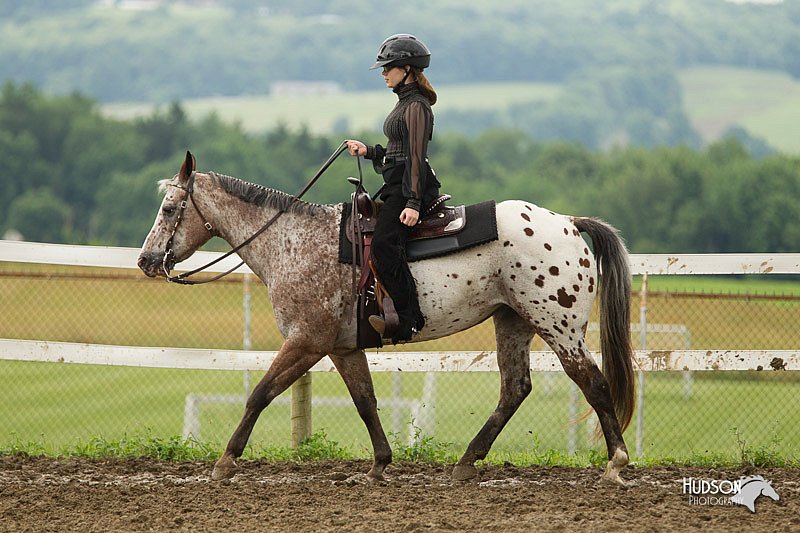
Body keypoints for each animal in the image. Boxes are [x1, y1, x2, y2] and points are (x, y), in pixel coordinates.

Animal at [139, 152, 636, 484]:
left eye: (168, 208)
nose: (146, 261)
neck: (292, 242)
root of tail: (568, 223)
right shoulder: (341, 347)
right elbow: (365, 402)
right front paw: (379, 464)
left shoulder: (306, 341)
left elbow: (260, 394)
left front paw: (226, 462)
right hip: (512, 321)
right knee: (515, 389)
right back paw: (465, 463)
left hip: (560, 327)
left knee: (592, 382)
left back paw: (615, 463)